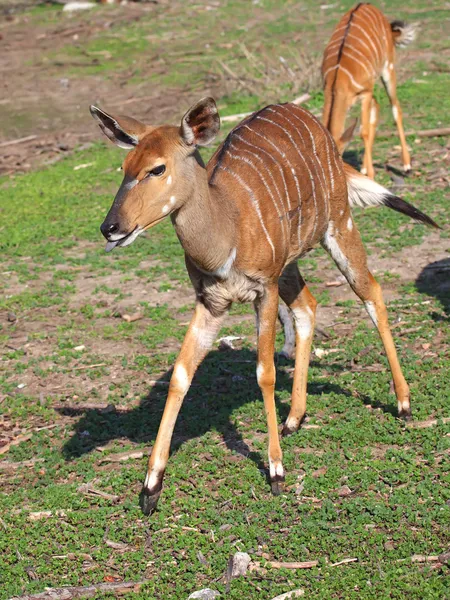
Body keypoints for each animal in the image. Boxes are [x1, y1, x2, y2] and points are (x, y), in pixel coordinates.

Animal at [89, 96, 438, 512]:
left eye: (157, 168)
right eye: (125, 166)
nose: (110, 227)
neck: (226, 230)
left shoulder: (264, 290)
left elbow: (266, 372)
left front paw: (276, 472)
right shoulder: (210, 303)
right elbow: (180, 376)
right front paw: (150, 487)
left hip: (338, 226)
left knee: (371, 291)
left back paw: (403, 404)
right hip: (291, 264)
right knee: (308, 306)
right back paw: (294, 419)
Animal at [322, 2, 416, 180]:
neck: (339, 78)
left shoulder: (364, 93)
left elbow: (363, 132)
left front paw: (372, 175)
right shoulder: (328, 93)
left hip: (388, 70)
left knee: (395, 108)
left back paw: (407, 166)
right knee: (377, 106)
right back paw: (365, 168)